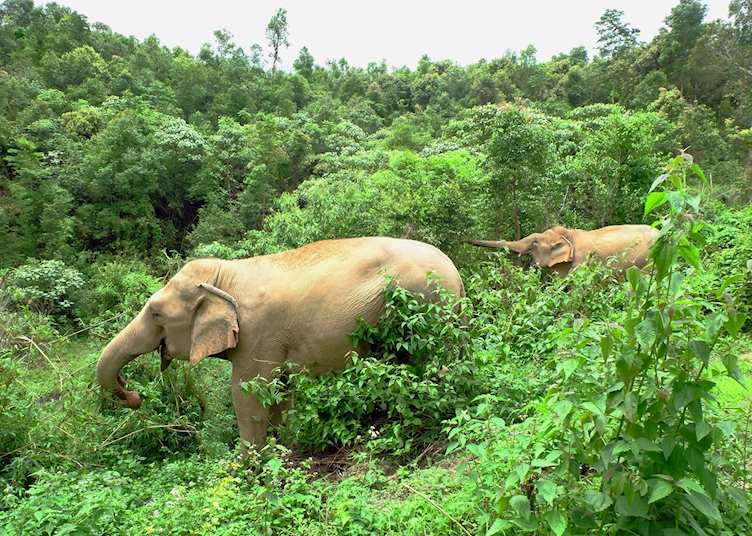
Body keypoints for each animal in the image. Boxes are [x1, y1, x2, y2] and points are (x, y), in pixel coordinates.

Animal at [96, 237, 465, 451]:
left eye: (156, 313)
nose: (134, 395)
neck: (226, 275)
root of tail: (456, 272)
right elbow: (281, 394)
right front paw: (284, 449)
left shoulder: (258, 333)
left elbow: (248, 395)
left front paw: (247, 470)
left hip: (423, 302)